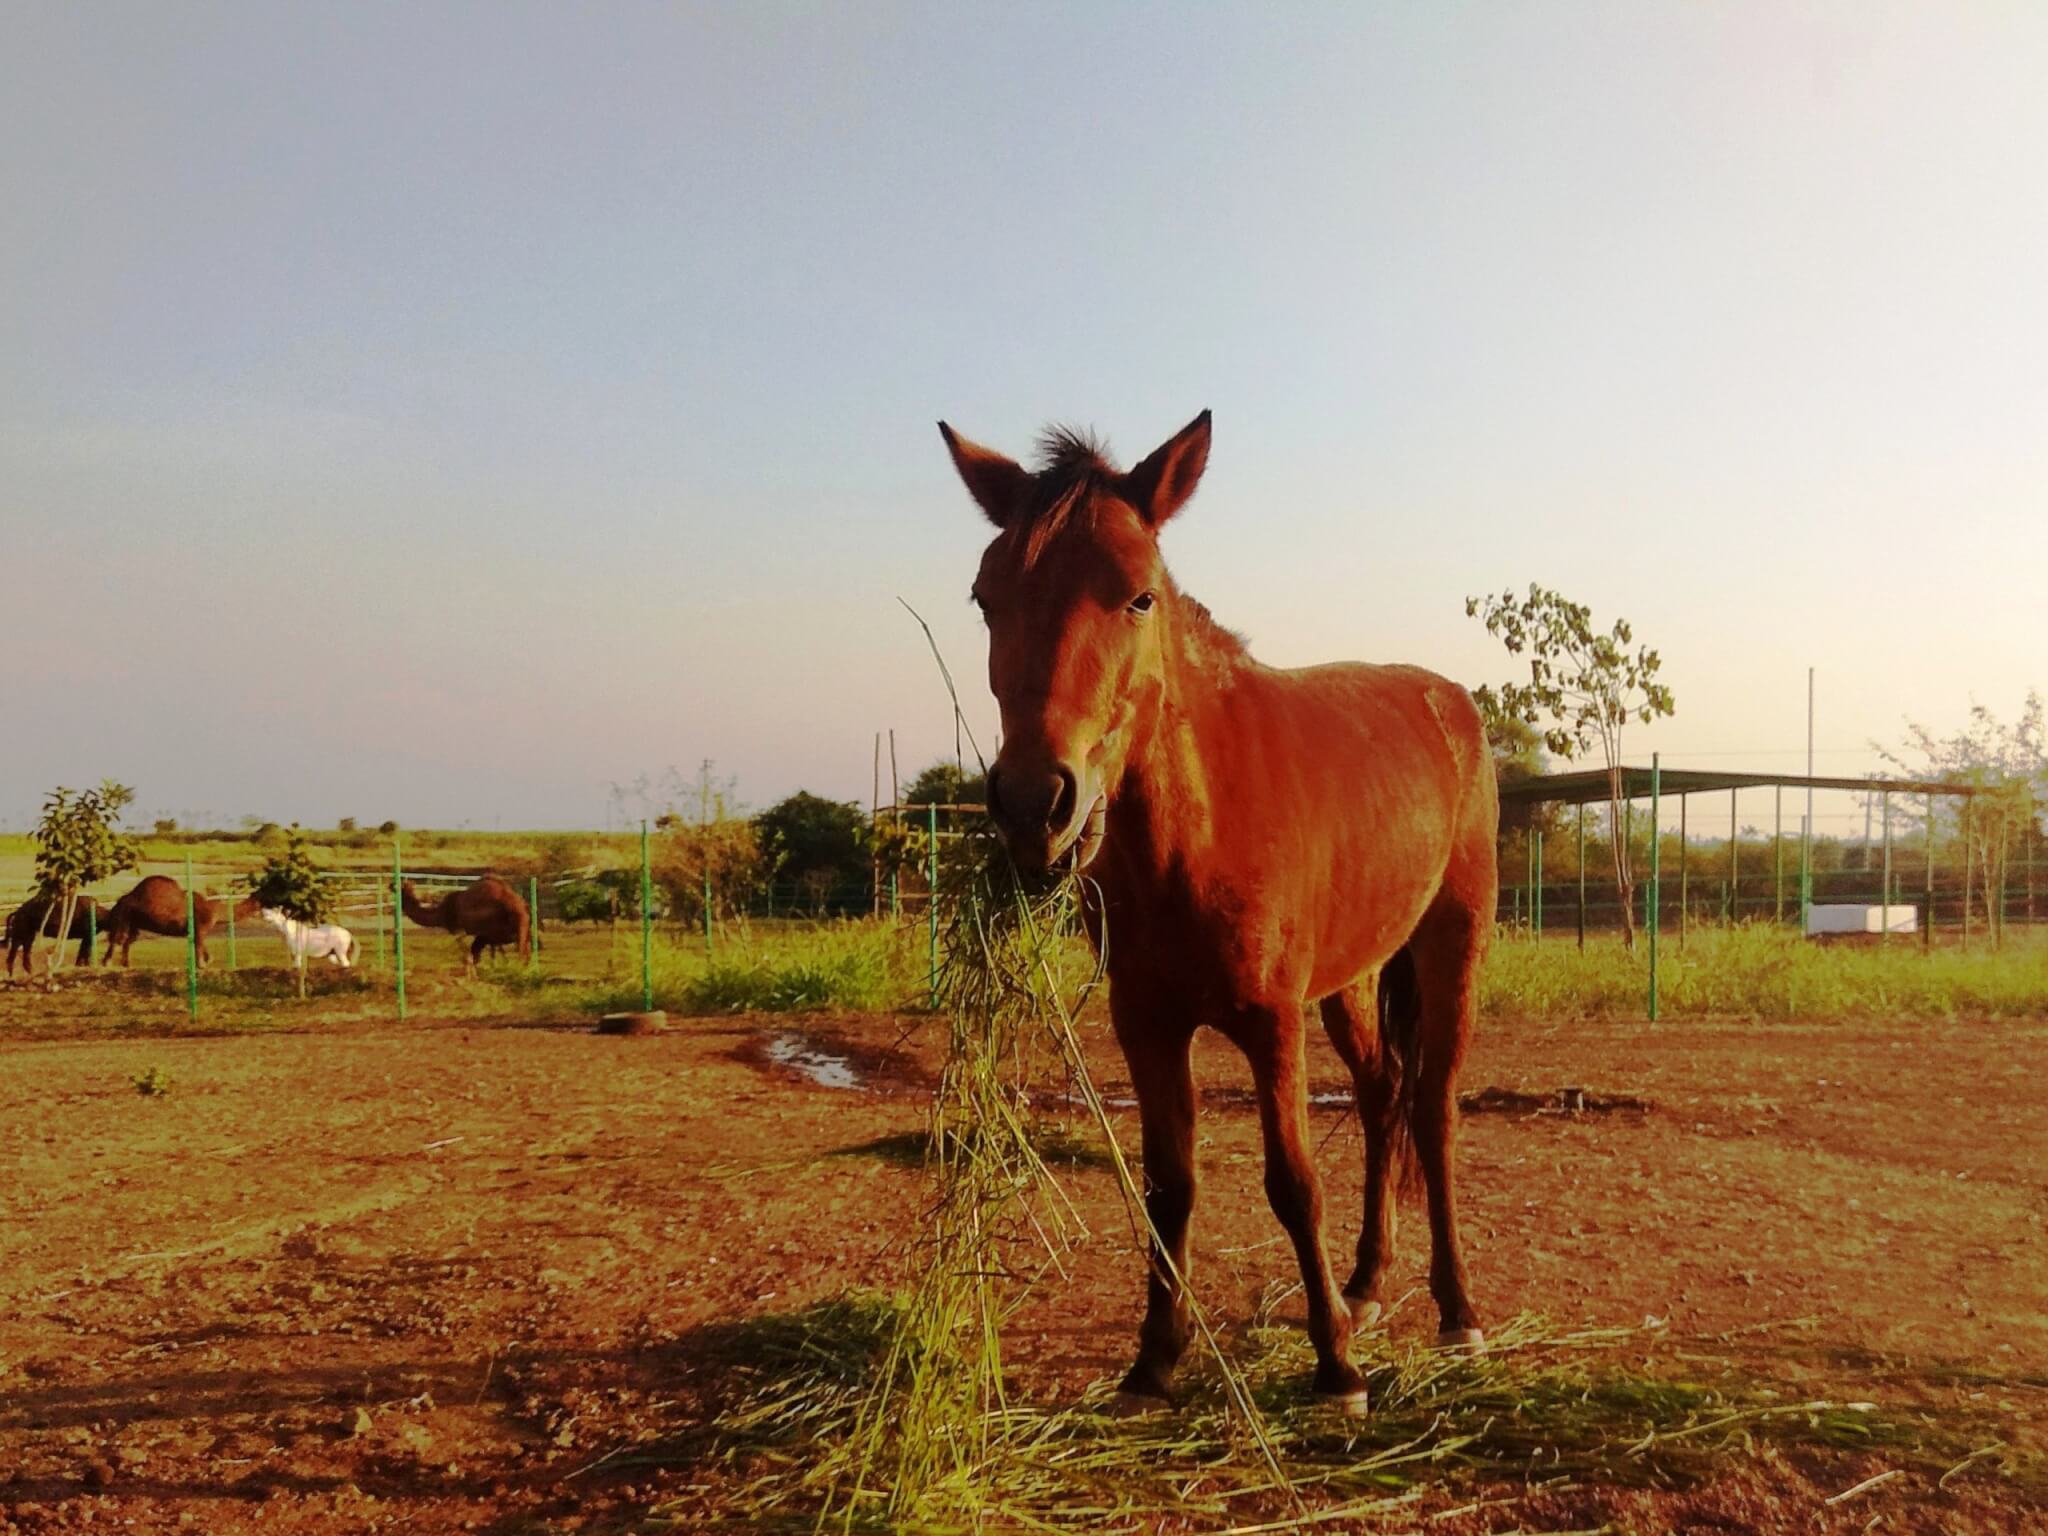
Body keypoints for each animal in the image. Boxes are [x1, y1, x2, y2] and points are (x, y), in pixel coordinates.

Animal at [101, 872, 262, 966]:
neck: (215, 910)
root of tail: (118, 902)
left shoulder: (196, 929)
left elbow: (200, 945)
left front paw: (207, 960)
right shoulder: (201, 926)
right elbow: (199, 944)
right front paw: (201, 965)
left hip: (134, 922)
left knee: (128, 940)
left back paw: (126, 964)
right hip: (123, 915)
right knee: (118, 938)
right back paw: (106, 963)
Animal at [397, 876, 528, 974]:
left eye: (400, 891)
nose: (391, 887)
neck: (441, 912)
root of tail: (518, 906)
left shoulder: (457, 929)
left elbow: (468, 954)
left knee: (519, 953)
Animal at [946, 411, 1507, 1417]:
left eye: (1137, 597)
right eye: (985, 597)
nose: (1033, 804)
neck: (1195, 833)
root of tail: (1450, 703)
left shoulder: (1269, 1023)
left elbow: (1294, 1184)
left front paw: (1335, 1371)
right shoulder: (1148, 1025)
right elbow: (1169, 1185)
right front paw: (1153, 1362)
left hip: (1454, 946)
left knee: (1433, 1110)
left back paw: (1455, 1311)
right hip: (1354, 977)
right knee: (1381, 1094)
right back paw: (1364, 1285)